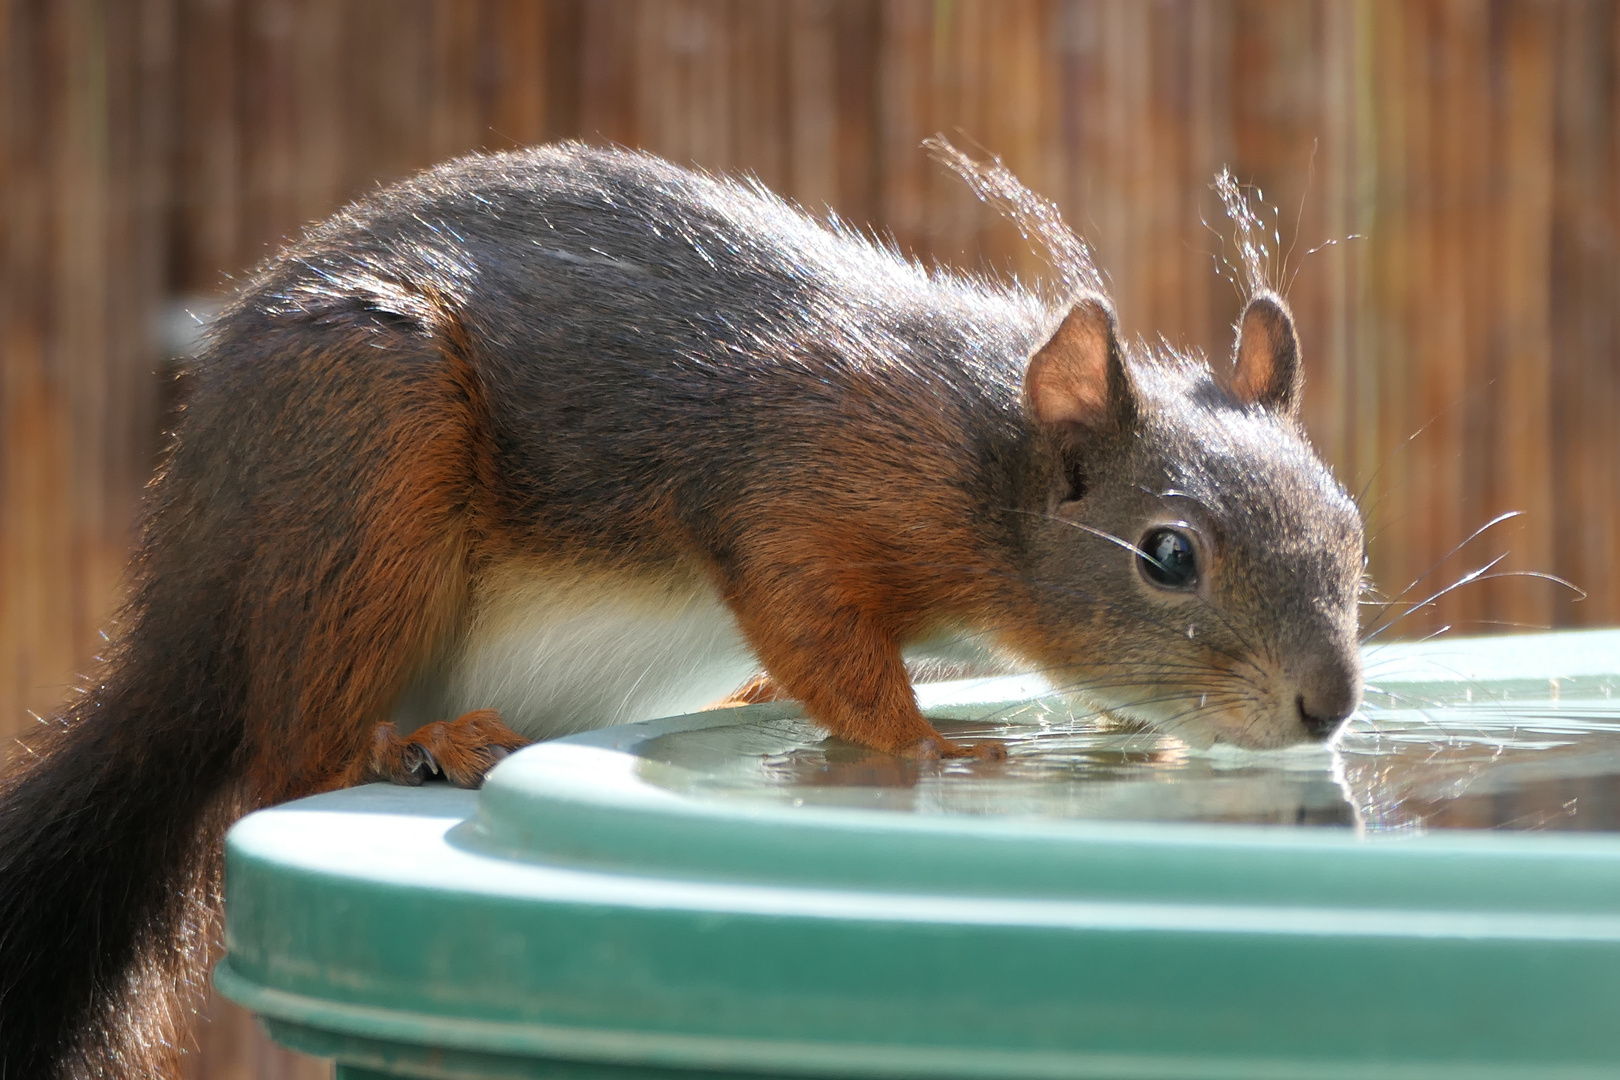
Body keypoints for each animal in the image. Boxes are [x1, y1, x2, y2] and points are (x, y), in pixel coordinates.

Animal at [0, 139, 1367, 1075]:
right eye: (1168, 555)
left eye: (1349, 524)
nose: (1330, 704)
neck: (984, 450)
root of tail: (183, 614)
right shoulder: (805, 485)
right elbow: (817, 628)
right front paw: (934, 743)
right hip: (360, 458)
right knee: (293, 752)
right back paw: (420, 745)